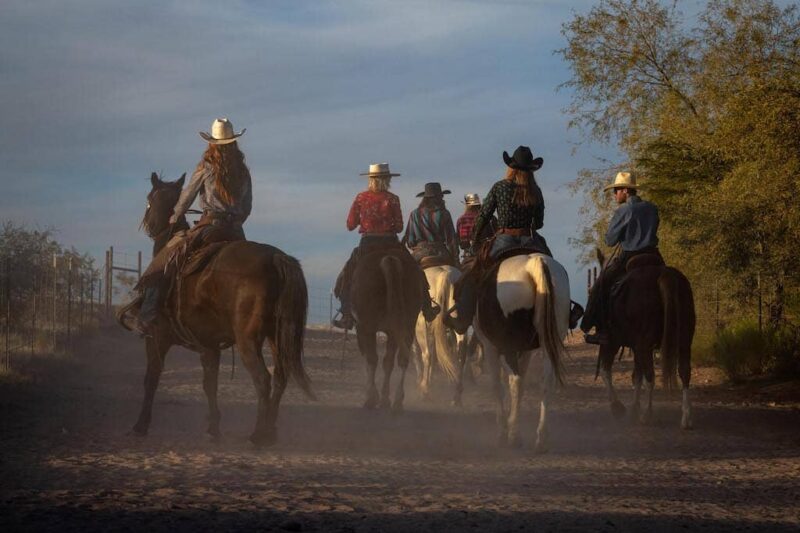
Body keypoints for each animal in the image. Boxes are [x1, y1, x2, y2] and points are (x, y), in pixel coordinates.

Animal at [119, 174, 312, 444]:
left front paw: (140, 425)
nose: (149, 226)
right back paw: (270, 432)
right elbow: (210, 384)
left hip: (248, 340)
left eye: (149, 199)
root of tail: (275, 257)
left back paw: (258, 435)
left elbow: (152, 378)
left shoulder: (156, 338)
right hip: (276, 336)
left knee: (263, 379)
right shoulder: (209, 345)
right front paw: (213, 427)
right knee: (280, 378)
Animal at [350, 245, 424, 412]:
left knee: (373, 359)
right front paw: (383, 398)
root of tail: (389, 259)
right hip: (406, 327)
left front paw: (372, 395)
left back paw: (373, 400)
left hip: (368, 327)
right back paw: (396, 401)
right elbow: (387, 362)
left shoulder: (362, 329)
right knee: (401, 359)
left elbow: (369, 360)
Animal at [412, 264, 468, 406]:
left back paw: (425, 390)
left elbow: (418, 353)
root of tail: (446, 274)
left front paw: (420, 380)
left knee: (426, 354)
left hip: (421, 326)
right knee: (461, 353)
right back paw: (457, 395)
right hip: (458, 325)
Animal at [454, 252, 572, 448]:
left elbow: (497, 385)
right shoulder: (526, 350)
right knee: (547, 382)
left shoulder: (491, 346)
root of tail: (534, 264)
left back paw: (513, 435)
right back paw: (541, 438)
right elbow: (521, 382)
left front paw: (503, 428)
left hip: (506, 346)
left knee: (514, 381)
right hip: (550, 342)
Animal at [592, 248, 692, 428]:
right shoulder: (636, 346)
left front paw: (618, 407)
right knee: (684, 371)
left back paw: (647, 415)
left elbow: (605, 371)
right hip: (684, 340)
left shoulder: (612, 342)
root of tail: (664, 275)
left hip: (643, 344)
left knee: (650, 376)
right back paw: (686, 418)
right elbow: (636, 376)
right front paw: (633, 408)